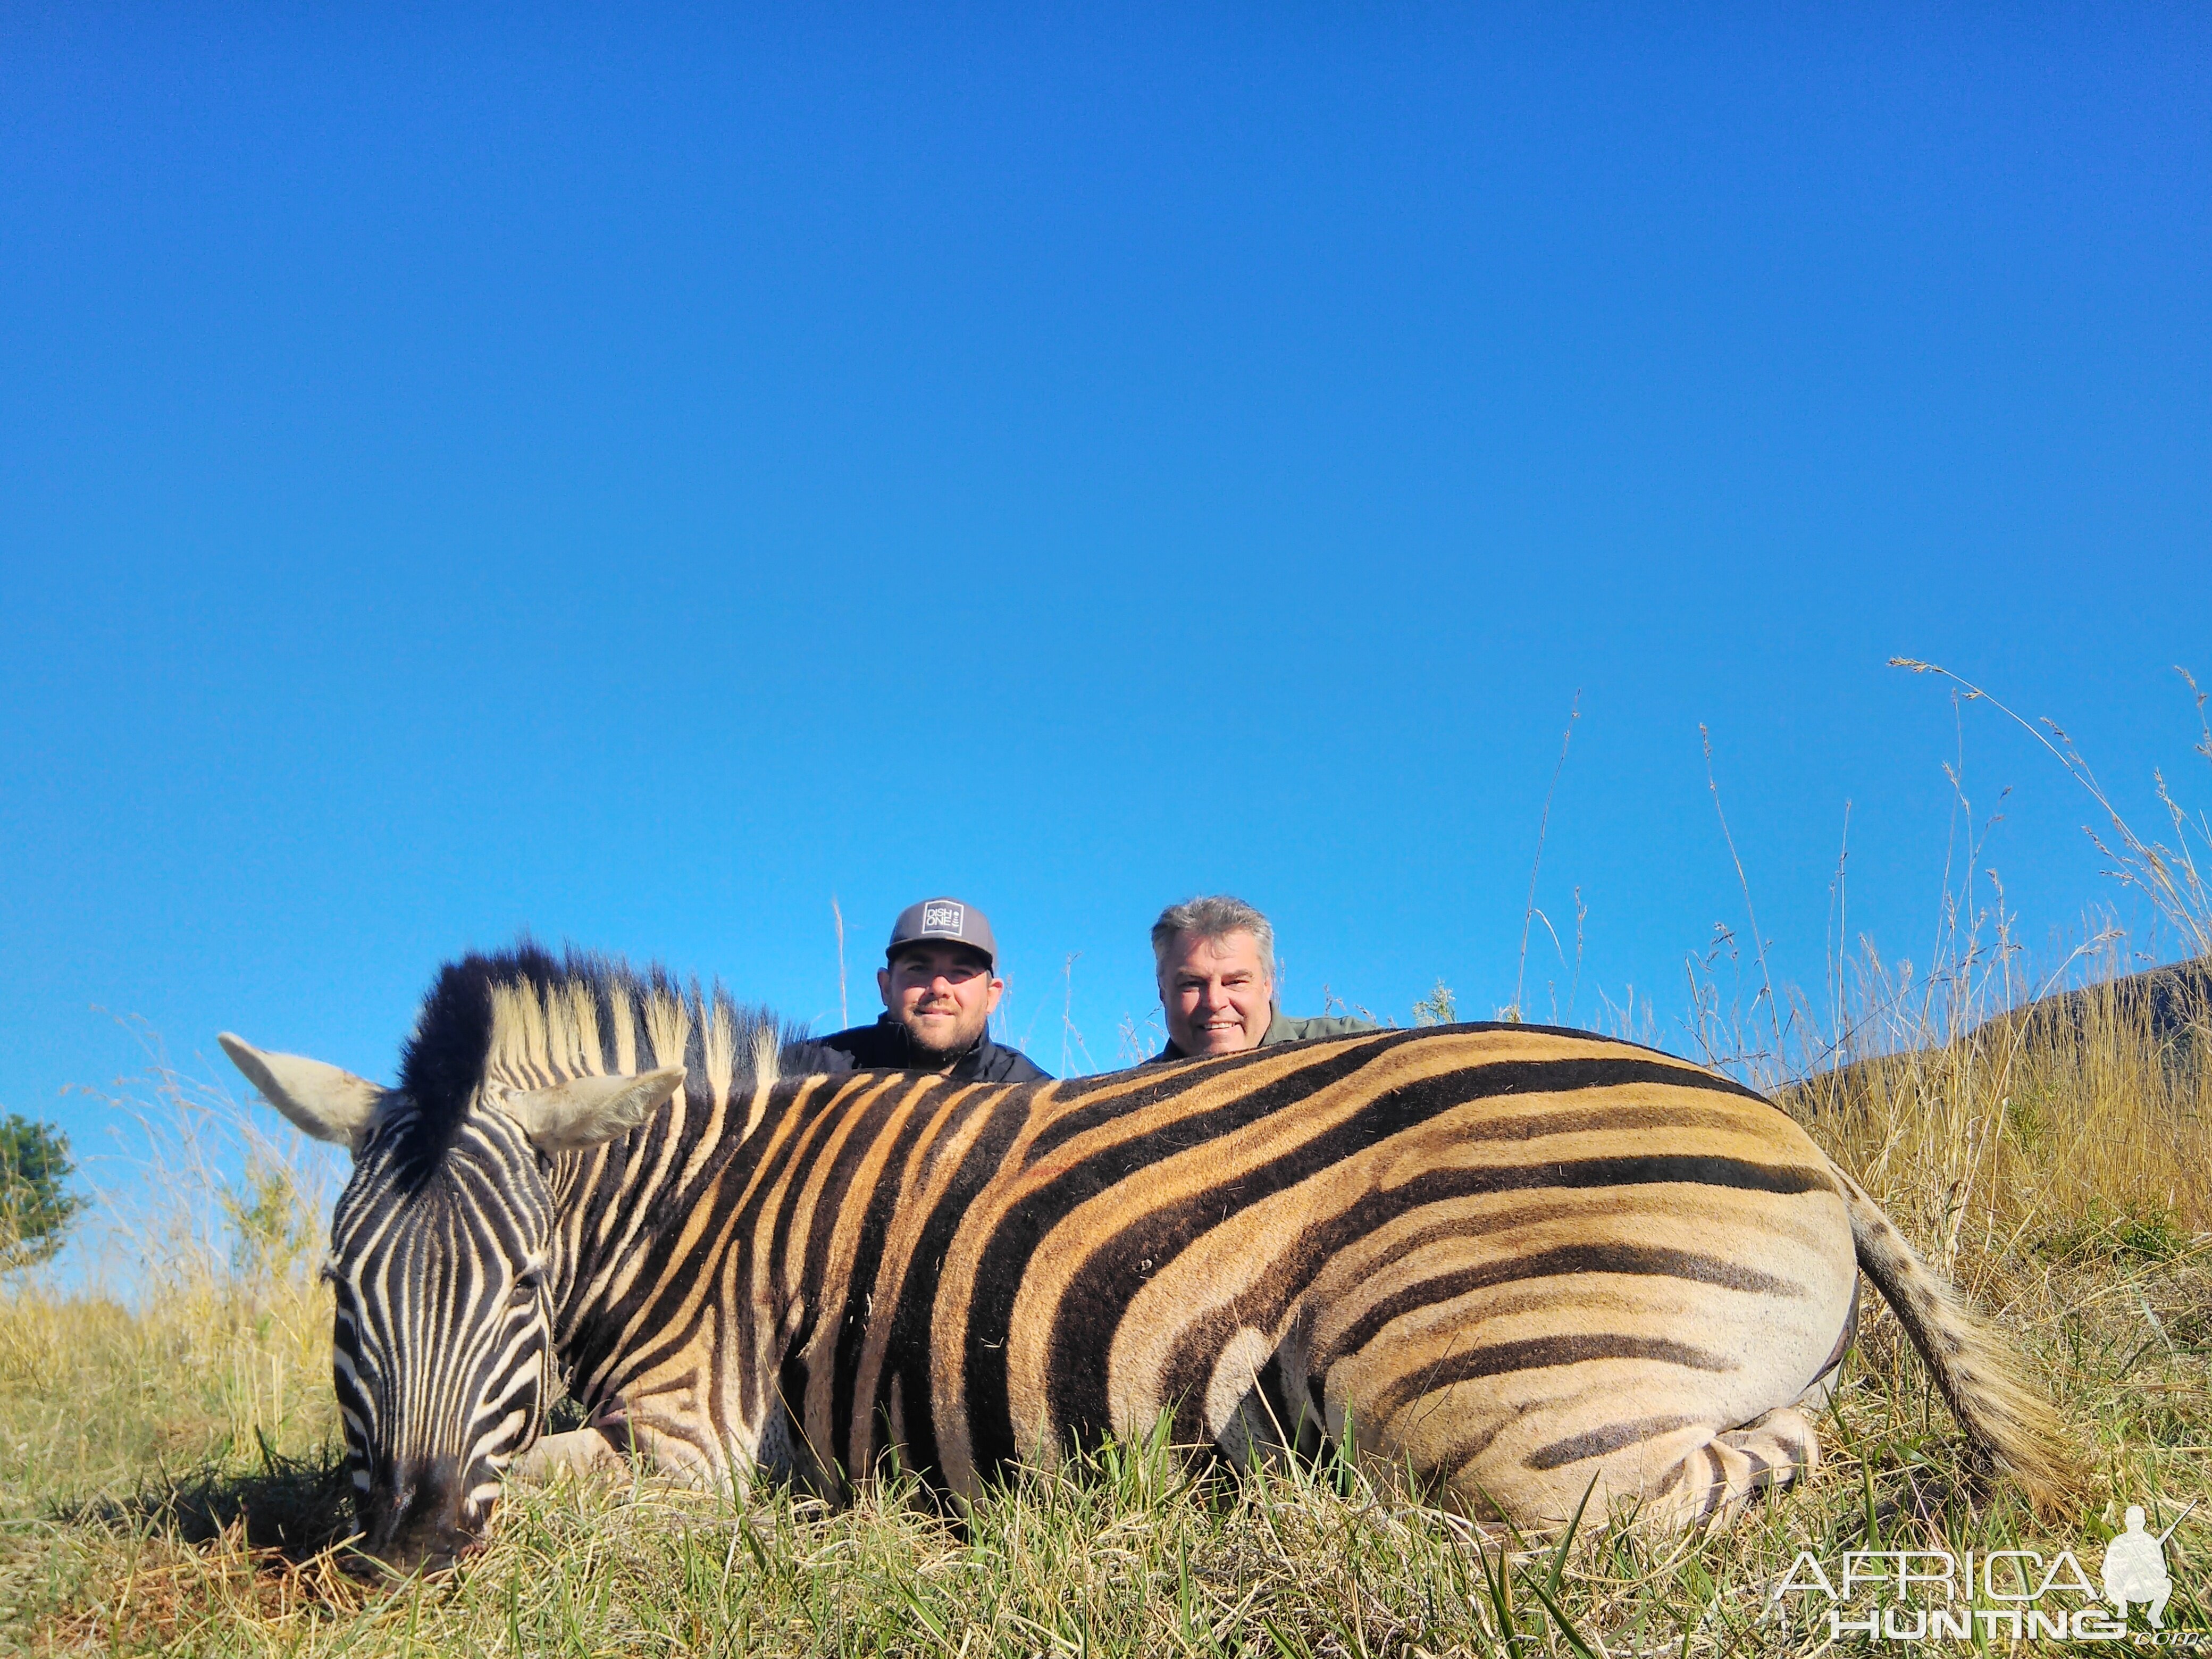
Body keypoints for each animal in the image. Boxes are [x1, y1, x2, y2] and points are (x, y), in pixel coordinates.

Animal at [215, 946, 2062, 1574]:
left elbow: (562, 1483)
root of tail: (1806, 1145)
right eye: (338, 1295)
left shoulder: (701, 1445)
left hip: (1447, 1378)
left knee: (1641, 1498)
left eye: (522, 1289)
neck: (689, 1216)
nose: (415, 1540)